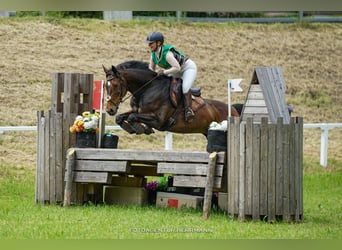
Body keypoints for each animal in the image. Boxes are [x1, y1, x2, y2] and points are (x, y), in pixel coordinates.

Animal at [103, 60, 239, 137]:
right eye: (105, 85)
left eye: (115, 85)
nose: (109, 109)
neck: (148, 88)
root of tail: (233, 110)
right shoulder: (139, 111)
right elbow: (120, 117)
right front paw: (139, 129)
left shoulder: (158, 120)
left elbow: (132, 117)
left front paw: (140, 128)